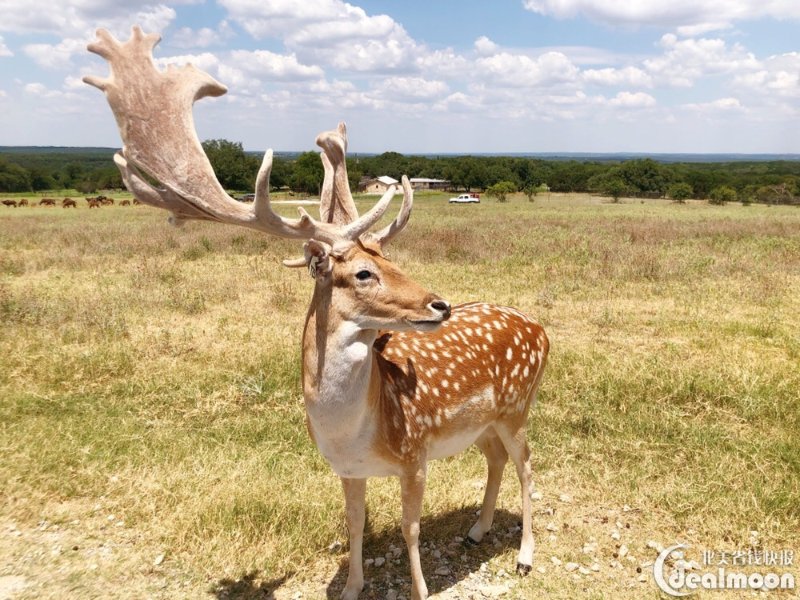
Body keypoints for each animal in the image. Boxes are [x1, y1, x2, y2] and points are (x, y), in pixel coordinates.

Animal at [86, 28, 552, 600]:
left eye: (391, 260)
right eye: (364, 273)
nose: (439, 304)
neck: (354, 431)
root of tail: (541, 330)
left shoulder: (415, 452)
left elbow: (410, 529)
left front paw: (420, 589)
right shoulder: (345, 469)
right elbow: (354, 524)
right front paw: (351, 587)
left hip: (518, 405)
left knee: (528, 466)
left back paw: (525, 557)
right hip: (486, 420)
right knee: (497, 459)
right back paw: (477, 530)